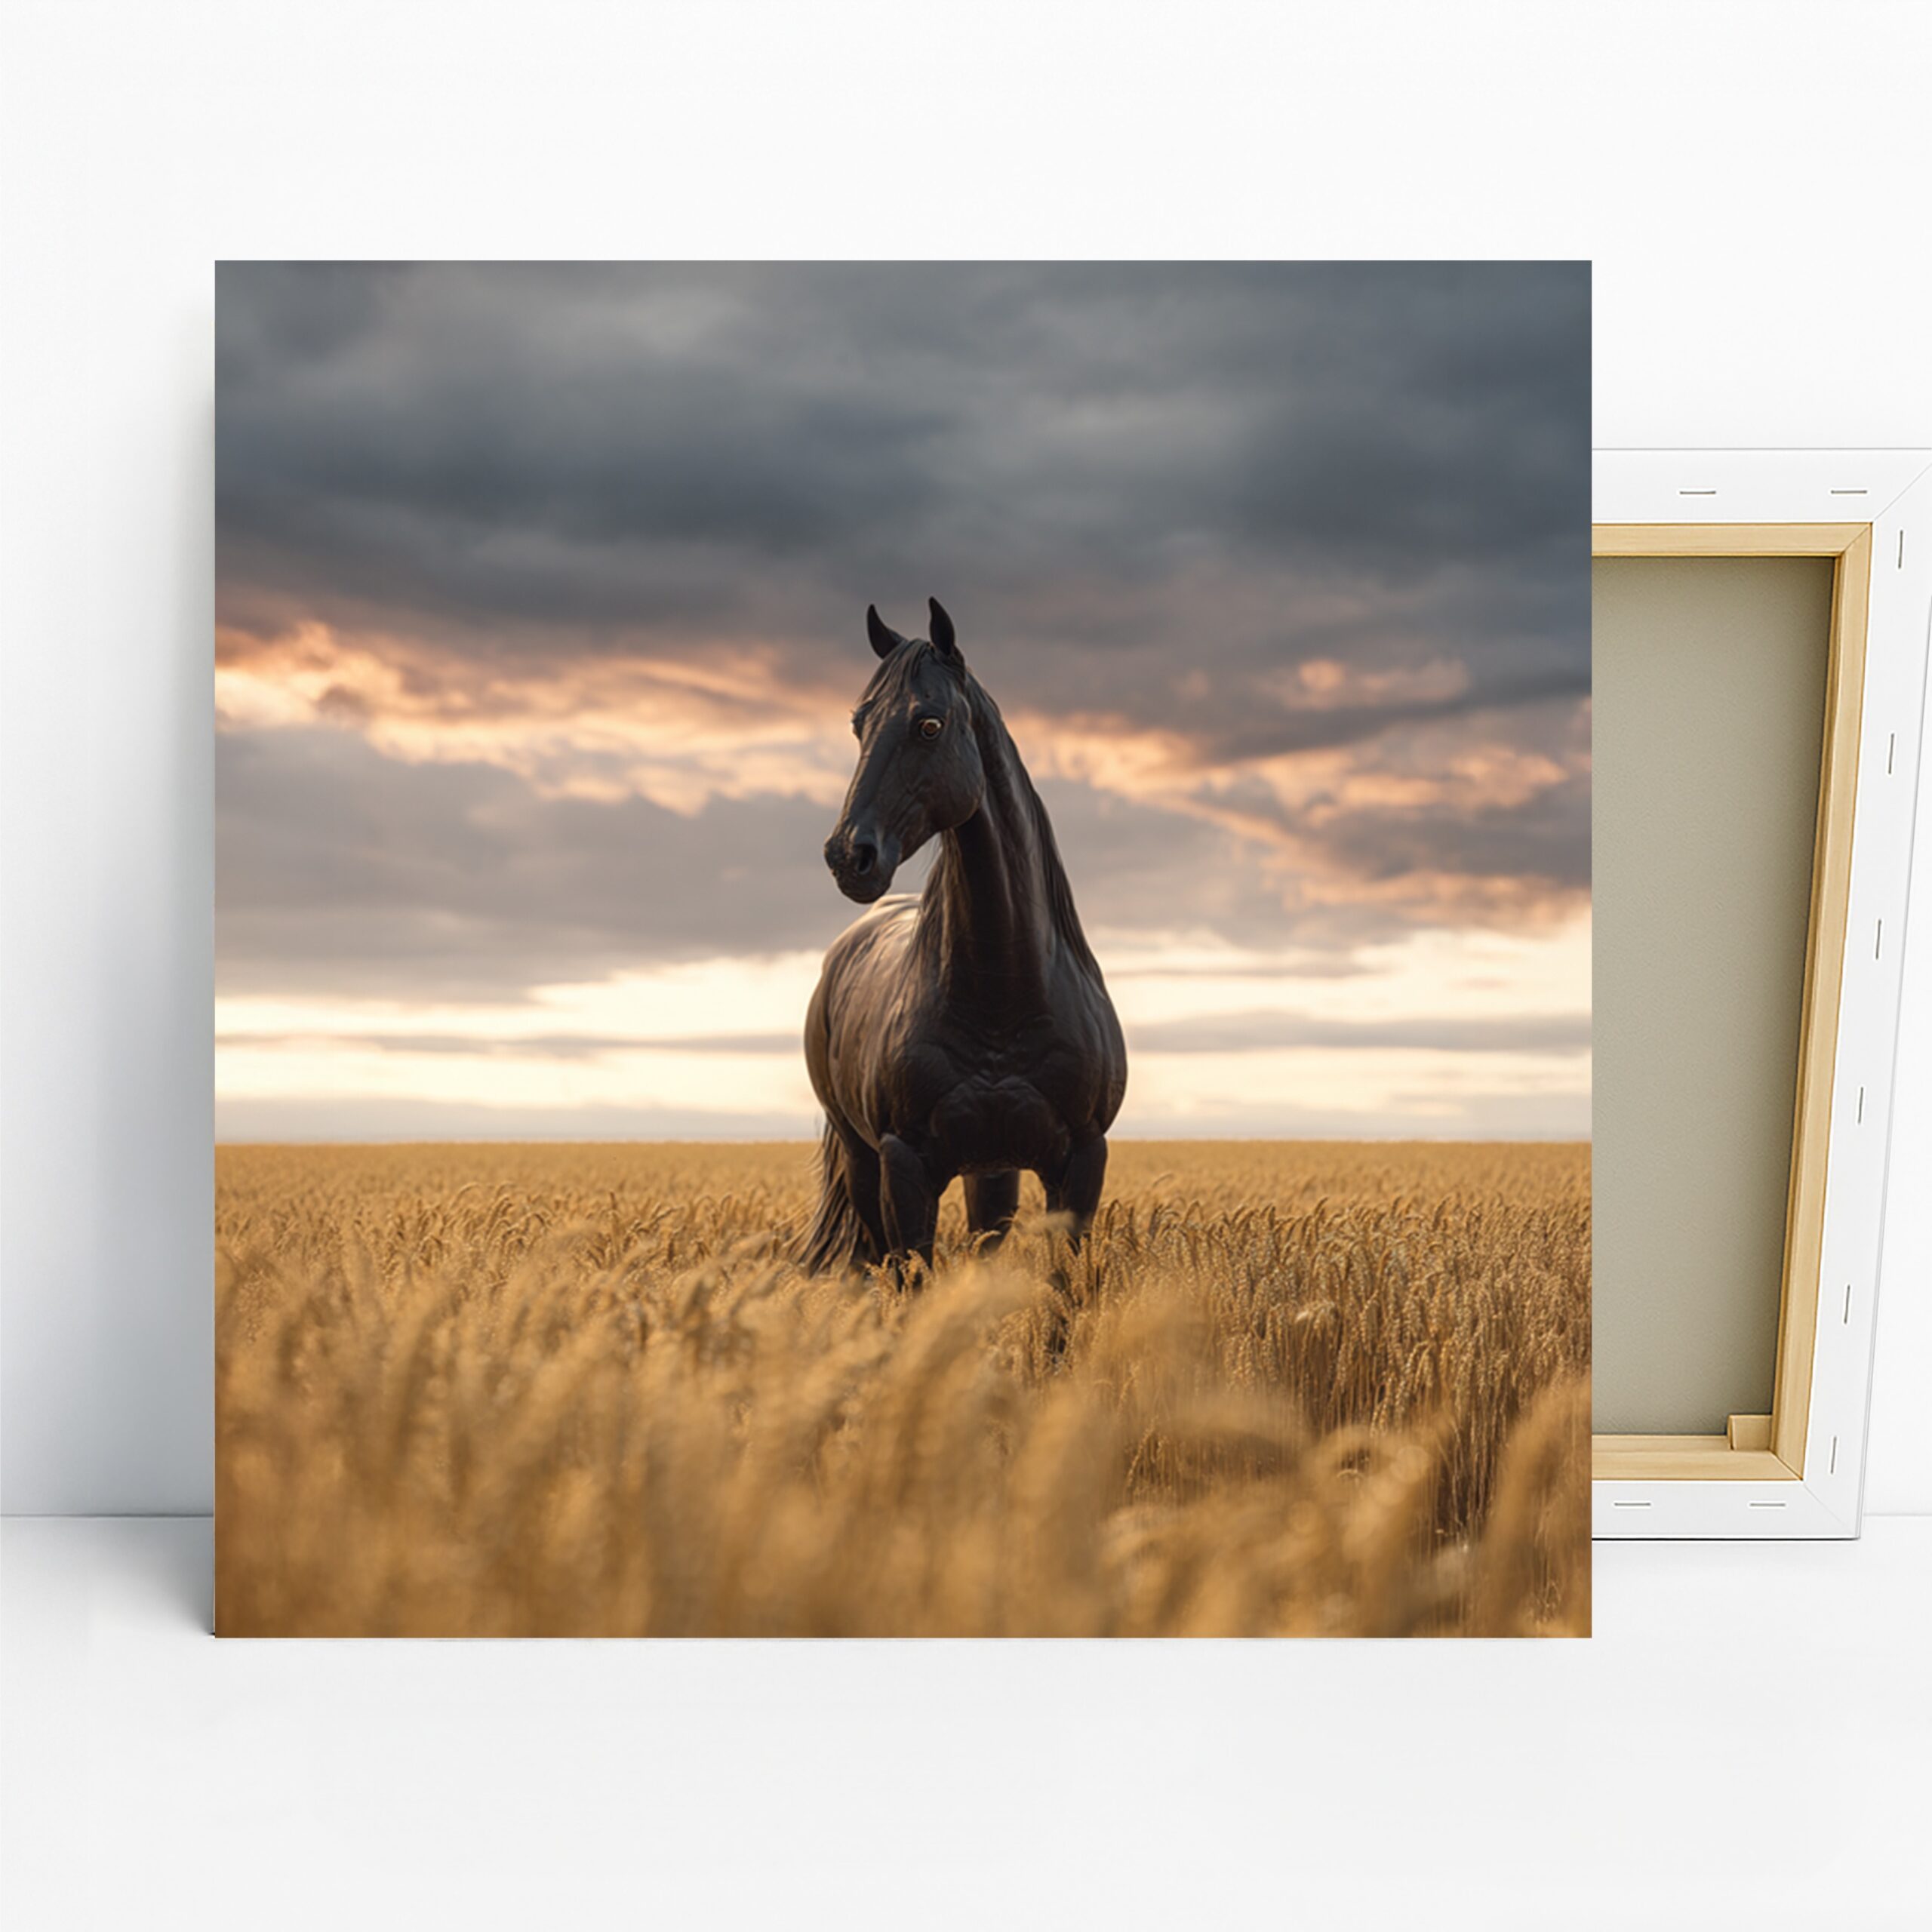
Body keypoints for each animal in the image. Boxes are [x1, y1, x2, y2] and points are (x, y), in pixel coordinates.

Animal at [800, 597, 1127, 1275]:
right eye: (859, 725)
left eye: (929, 725)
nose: (849, 856)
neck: (1002, 992)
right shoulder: (904, 1167)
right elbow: (913, 1278)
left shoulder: (1082, 1166)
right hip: (862, 1158)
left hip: (992, 1170)